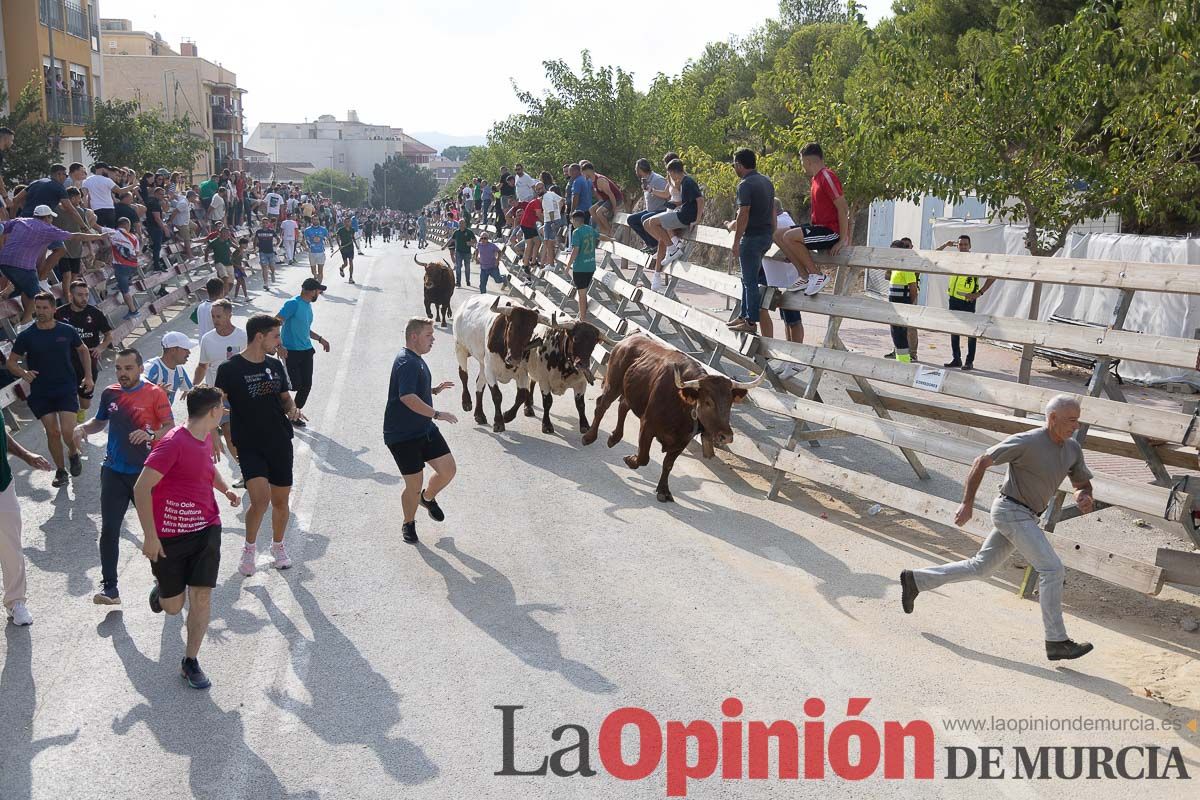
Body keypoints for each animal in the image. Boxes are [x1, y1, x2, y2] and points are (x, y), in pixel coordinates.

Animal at [451, 293, 542, 431]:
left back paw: (479, 415)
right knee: (463, 375)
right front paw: (499, 422)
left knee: (479, 384)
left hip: (482, 364)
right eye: (511, 328)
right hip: (460, 347)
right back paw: (466, 402)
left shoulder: (522, 373)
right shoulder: (490, 370)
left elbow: (521, 395)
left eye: (530, 332)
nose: (514, 358)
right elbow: (497, 395)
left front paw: (507, 416)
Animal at [578, 335, 758, 501]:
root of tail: (627, 340)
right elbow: (643, 457)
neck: (681, 407)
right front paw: (631, 460)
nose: (726, 436)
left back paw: (614, 438)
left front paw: (664, 490)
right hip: (613, 384)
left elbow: (668, 464)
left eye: (730, 403)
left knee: (623, 405)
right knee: (602, 406)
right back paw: (589, 437)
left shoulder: (683, 441)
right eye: (707, 402)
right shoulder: (647, 425)